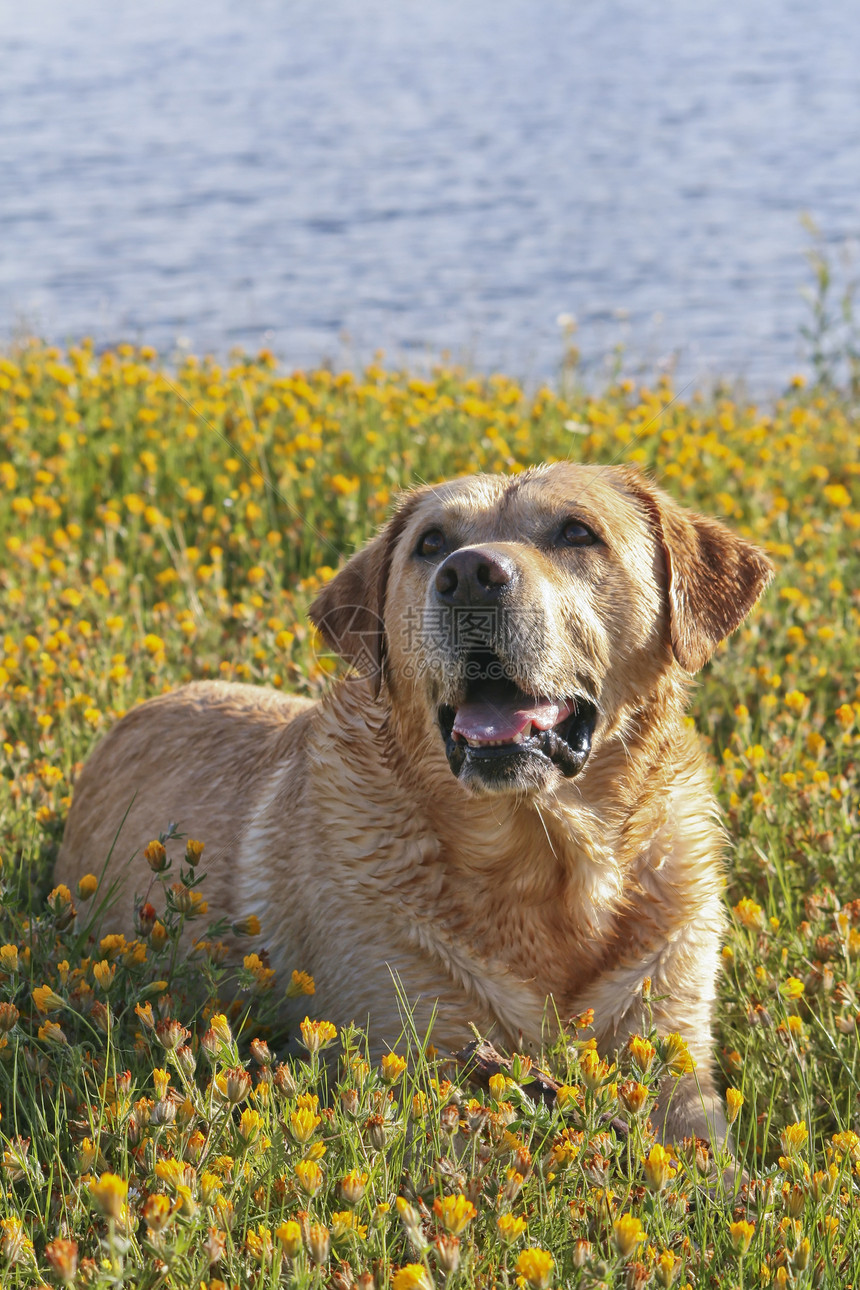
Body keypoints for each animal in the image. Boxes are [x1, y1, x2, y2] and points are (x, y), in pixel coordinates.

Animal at [60, 464, 773, 1140]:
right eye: (431, 544)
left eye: (577, 532)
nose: (470, 576)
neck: (544, 866)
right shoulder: (418, 1050)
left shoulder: (676, 1058)